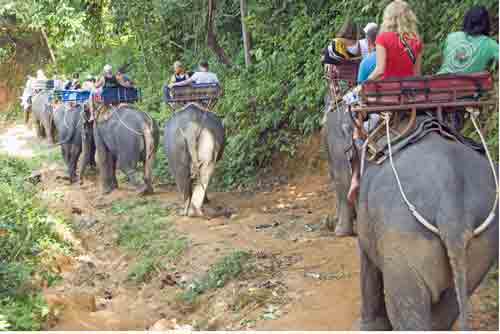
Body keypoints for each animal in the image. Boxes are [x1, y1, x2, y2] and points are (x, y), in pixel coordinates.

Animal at [326, 108, 498, 330]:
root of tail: (451, 205)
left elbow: (367, 261)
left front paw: (366, 328)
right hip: (483, 244)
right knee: (455, 296)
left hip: (403, 238)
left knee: (405, 304)